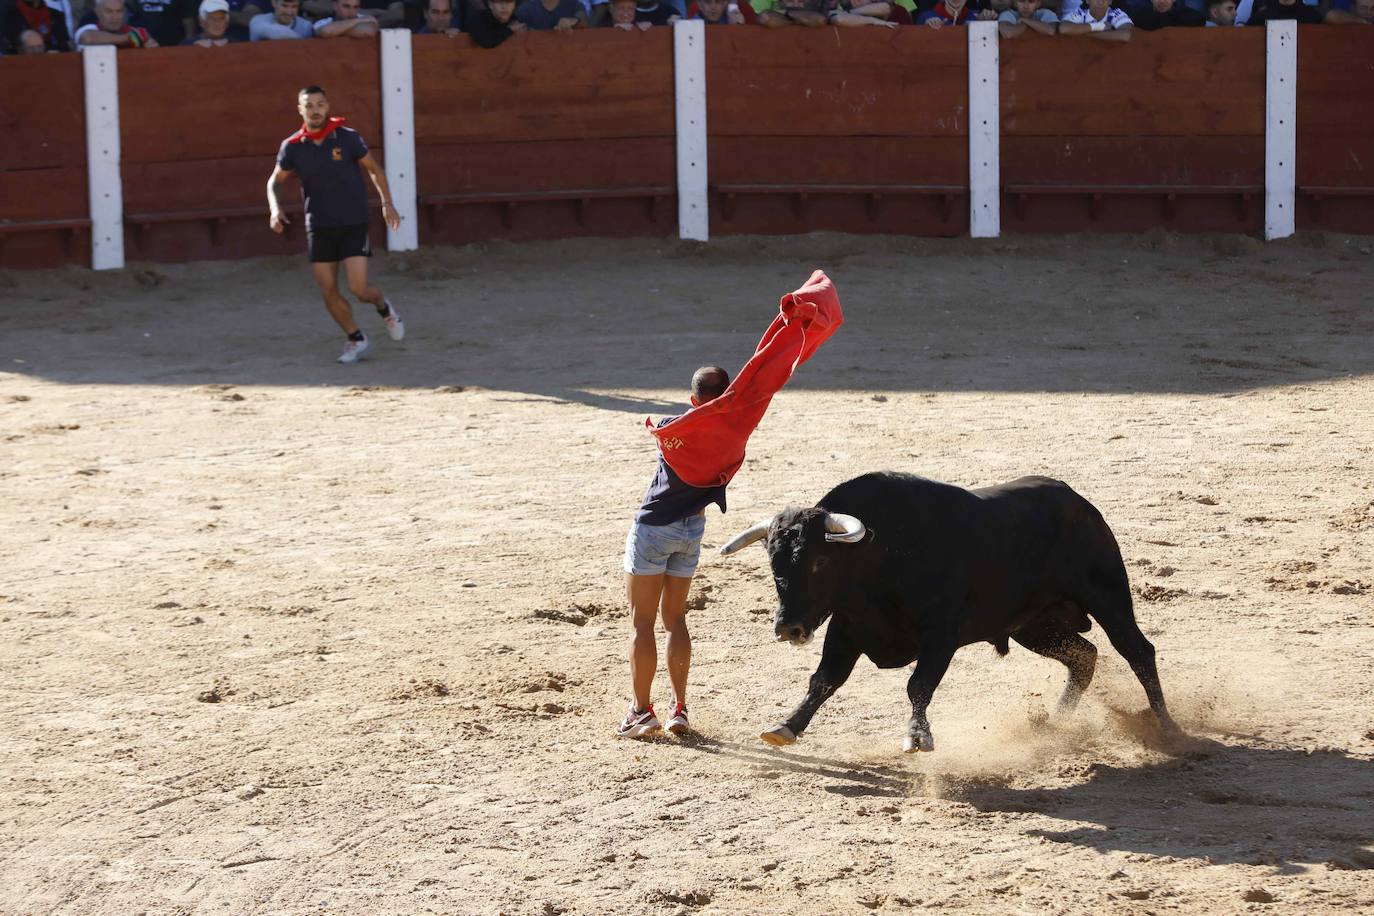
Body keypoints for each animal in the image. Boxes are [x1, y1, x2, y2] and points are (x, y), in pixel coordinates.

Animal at [719, 472, 1181, 752]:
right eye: (773, 562)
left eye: (818, 561)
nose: (788, 628)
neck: (883, 551)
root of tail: (1077, 501)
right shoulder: (846, 630)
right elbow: (824, 680)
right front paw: (786, 726)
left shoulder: (941, 634)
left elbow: (918, 684)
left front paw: (917, 737)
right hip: (1033, 625)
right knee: (1084, 656)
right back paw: (1052, 724)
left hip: (1109, 597)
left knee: (1137, 651)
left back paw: (1170, 728)